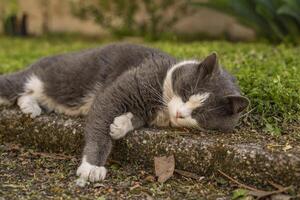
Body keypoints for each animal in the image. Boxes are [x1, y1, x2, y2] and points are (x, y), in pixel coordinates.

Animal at [0, 43, 248, 186]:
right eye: (187, 92)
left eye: (200, 114)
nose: (179, 113)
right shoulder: (120, 90)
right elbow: (103, 114)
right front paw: (92, 167)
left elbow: (134, 118)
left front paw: (120, 125)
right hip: (53, 76)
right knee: (15, 85)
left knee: (25, 96)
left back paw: (30, 107)